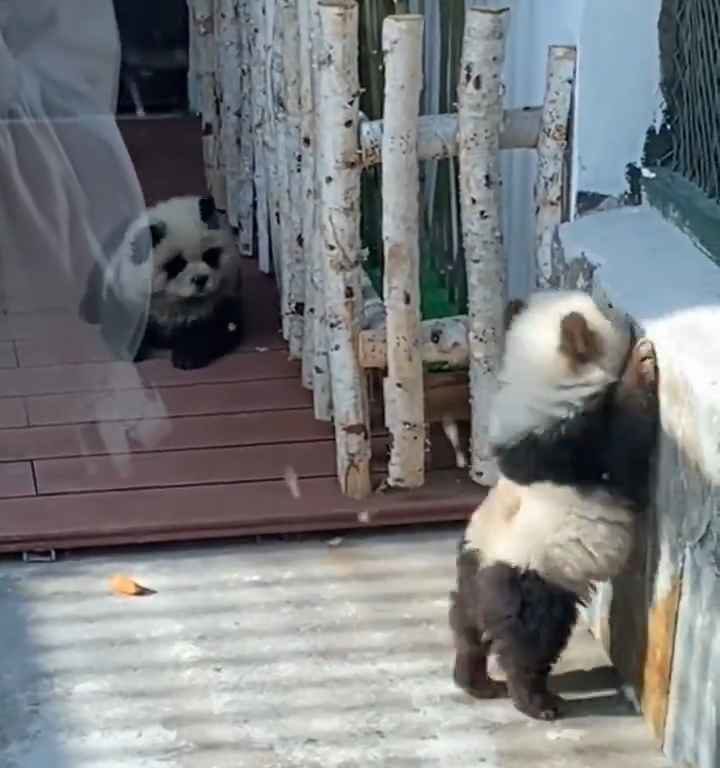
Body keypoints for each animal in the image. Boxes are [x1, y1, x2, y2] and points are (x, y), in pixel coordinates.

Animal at [79, 194, 242, 370]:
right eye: (176, 264)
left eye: (210, 256)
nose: (200, 280)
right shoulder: (127, 291)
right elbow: (120, 323)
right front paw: (132, 350)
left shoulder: (223, 297)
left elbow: (220, 327)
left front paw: (187, 357)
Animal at [450, 290, 660, 720]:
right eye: (607, 309)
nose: (626, 316)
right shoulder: (580, 445)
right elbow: (627, 445)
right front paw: (642, 360)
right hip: (536, 578)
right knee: (529, 640)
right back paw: (535, 701)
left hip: (470, 564)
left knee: (466, 631)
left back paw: (475, 681)